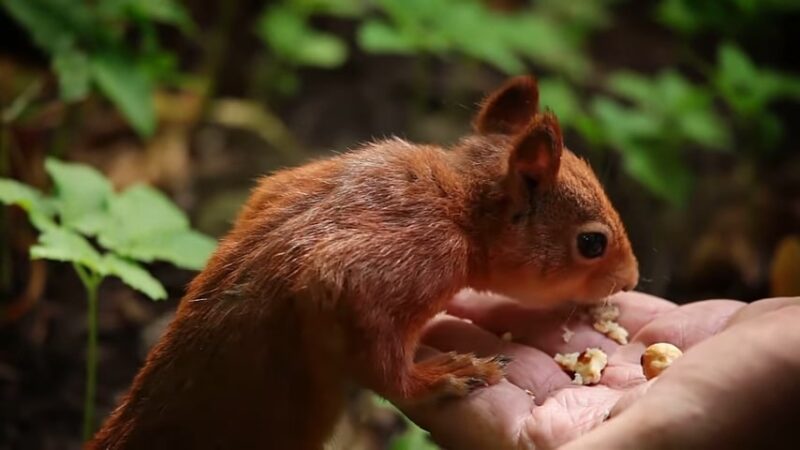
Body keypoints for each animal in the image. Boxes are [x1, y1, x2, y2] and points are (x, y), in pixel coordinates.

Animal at [87, 75, 636, 448]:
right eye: (592, 243)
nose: (630, 279)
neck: (456, 205)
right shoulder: (382, 268)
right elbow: (383, 368)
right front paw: (441, 376)